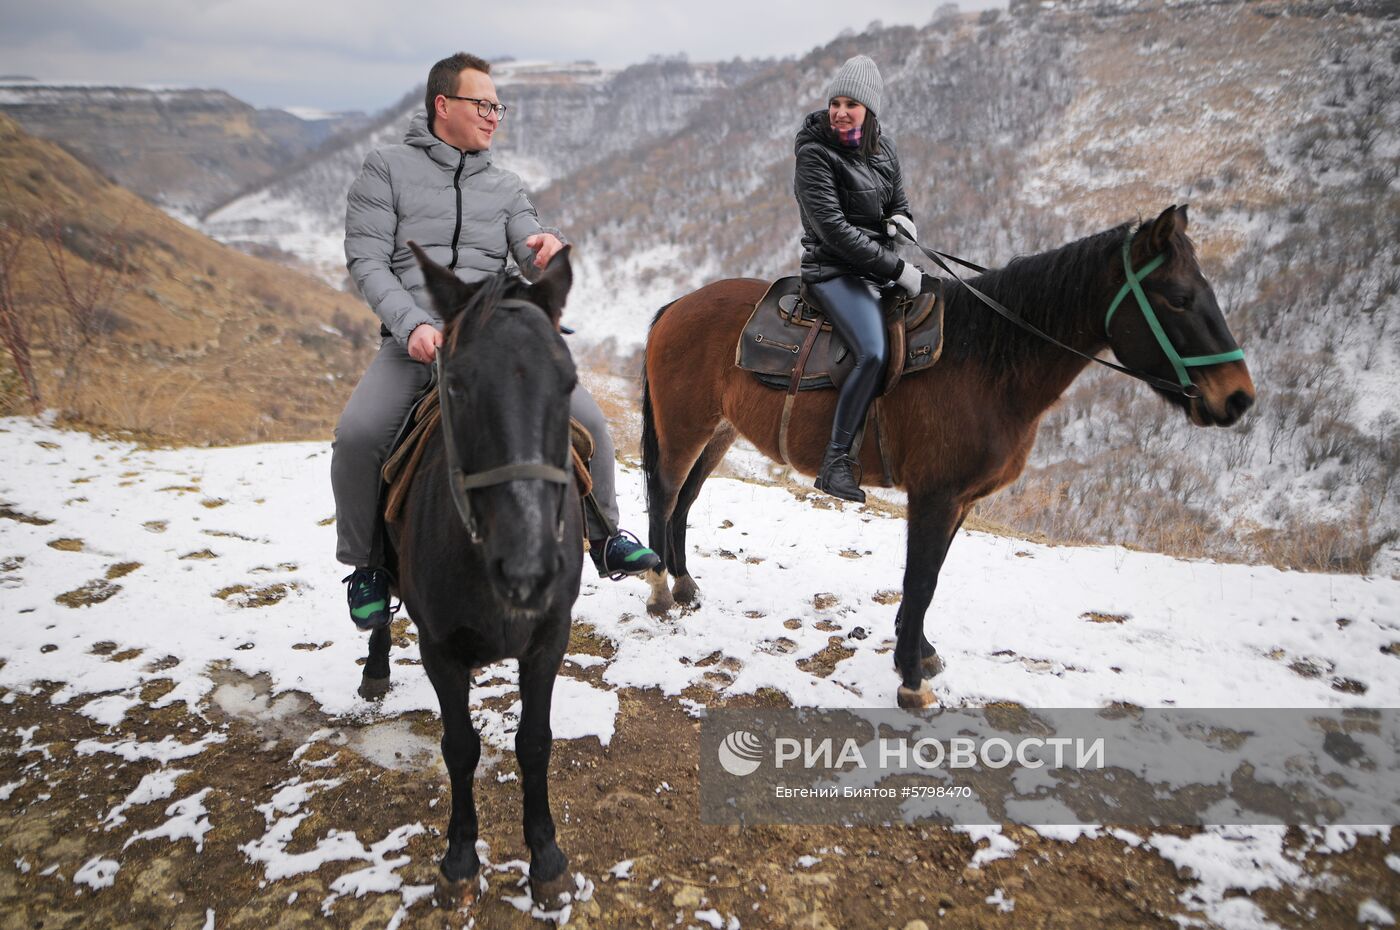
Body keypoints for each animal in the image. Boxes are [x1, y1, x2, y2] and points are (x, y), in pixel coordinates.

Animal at [372, 240, 579, 907]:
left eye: (569, 382)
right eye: (456, 384)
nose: (528, 569)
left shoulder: (549, 639)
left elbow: (534, 742)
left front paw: (546, 860)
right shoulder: (439, 649)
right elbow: (459, 747)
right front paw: (460, 860)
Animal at [641, 207, 1254, 708]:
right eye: (1178, 298)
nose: (1239, 397)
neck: (986, 362)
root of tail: (676, 306)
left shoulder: (961, 500)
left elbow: (931, 578)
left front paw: (918, 652)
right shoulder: (934, 496)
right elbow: (919, 580)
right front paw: (912, 682)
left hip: (719, 432)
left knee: (686, 501)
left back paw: (685, 584)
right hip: (685, 429)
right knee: (665, 495)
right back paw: (659, 593)